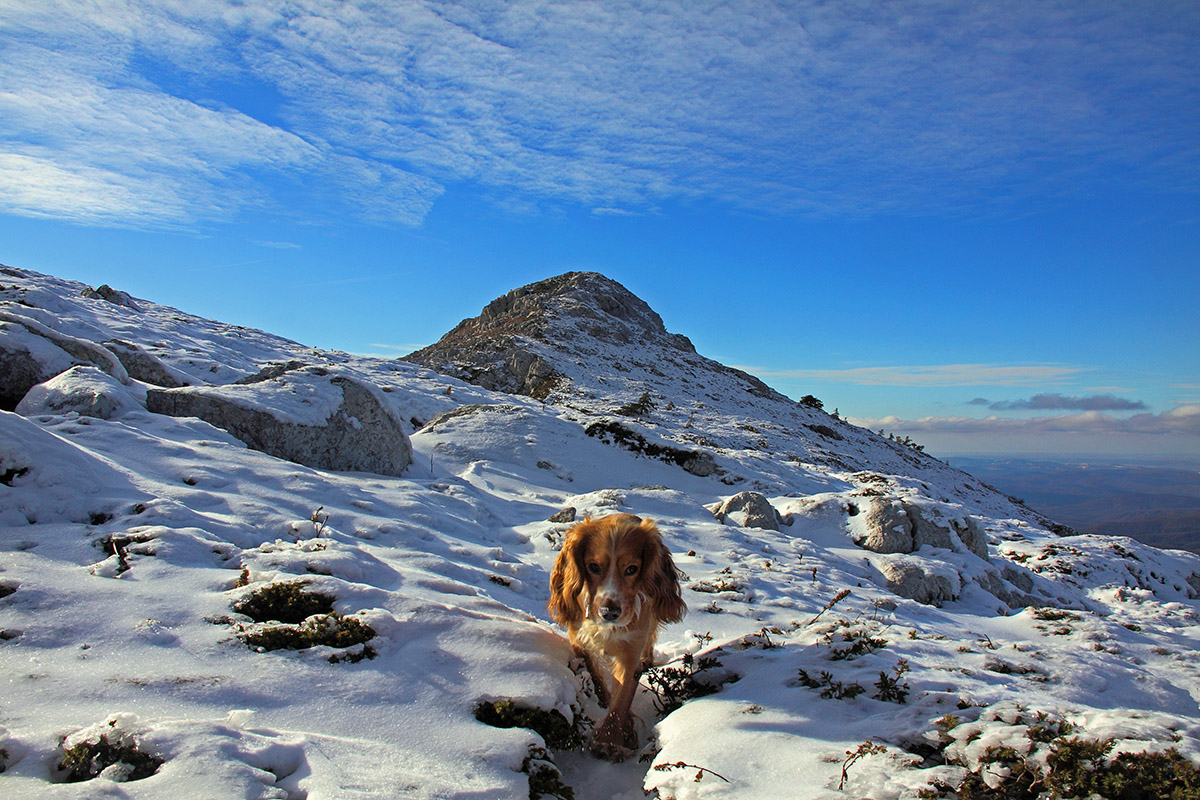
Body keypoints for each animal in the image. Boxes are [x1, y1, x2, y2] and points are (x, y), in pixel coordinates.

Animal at [547, 515, 686, 762]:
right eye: (593, 566)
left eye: (632, 569)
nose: (609, 611)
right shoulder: (577, 636)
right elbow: (592, 668)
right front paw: (603, 698)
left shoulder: (630, 650)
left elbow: (621, 700)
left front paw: (610, 742)